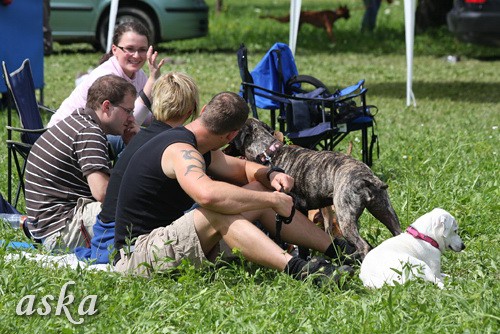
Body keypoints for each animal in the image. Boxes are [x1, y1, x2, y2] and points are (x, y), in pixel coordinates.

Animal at [227, 117, 402, 258]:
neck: (269, 152)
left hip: (345, 218)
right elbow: (304, 246)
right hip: (385, 212)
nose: (223, 150)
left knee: (363, 246)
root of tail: (365, 176)